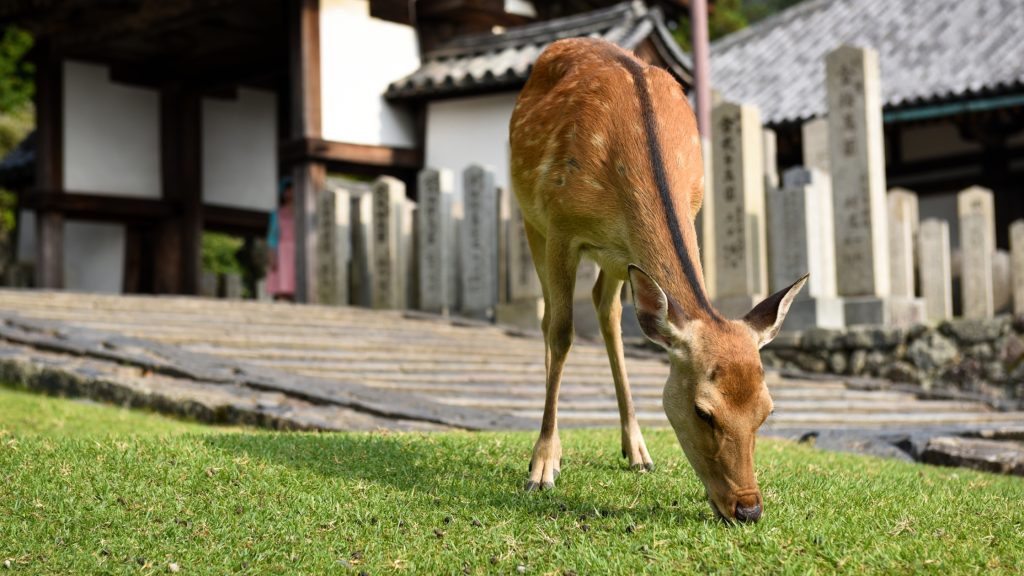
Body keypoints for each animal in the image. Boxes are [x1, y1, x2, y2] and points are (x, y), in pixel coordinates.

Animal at [508, 37, 807, 523]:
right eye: (703, 412)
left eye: (767, 411)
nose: (748, 508)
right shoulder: (559, 225)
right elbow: (562, 332)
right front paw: (542, 466)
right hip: (531, 217)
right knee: (551, 317)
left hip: (618, 257)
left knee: (607, 310)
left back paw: (638, 450)